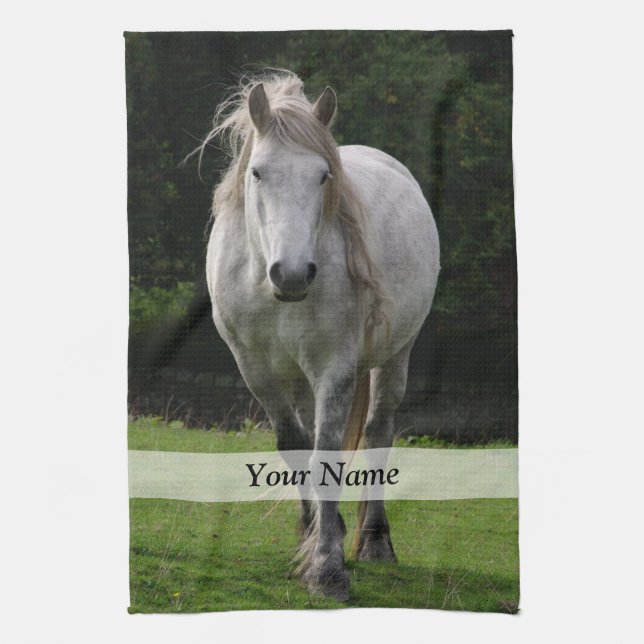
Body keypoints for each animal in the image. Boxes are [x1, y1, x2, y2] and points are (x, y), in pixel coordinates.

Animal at [203, 72, 440, 600]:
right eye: (257, 173)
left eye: (323, 176)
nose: (291, 274)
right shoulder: (256, 370)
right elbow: (295, 444)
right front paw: (311, 537)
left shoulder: (335, 367)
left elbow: (327, 450)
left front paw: (327, 567)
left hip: (396, 355)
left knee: (377, 430)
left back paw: (374, 540)